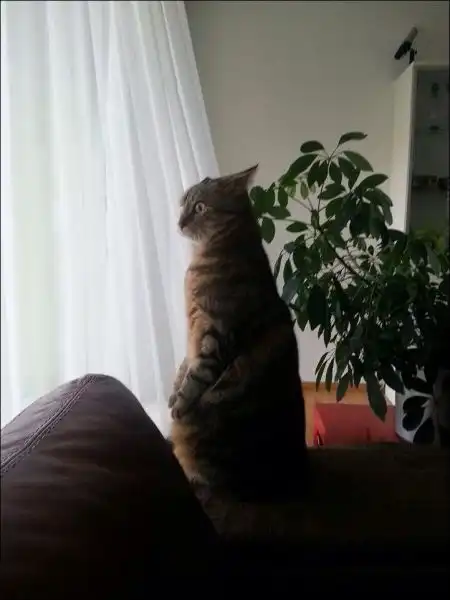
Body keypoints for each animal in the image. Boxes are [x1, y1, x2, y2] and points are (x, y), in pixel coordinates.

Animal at [169, 165, 308, 501]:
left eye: (200, 207)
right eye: (183, 203)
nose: (179, 221)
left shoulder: (214, 335)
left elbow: (196, 376)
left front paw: (179, 403)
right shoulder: (192, 335)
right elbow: (184, 365)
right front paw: (173, 392)